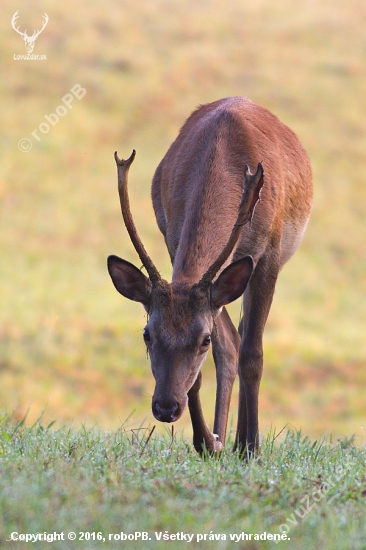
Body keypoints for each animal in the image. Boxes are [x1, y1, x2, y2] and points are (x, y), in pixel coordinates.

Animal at [107, 96, 314, 458]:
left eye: (202, 338)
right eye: (147, 334)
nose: (165, 407)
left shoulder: (270, 253)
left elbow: (253, 354)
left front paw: (251, 448)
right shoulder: (174, 241)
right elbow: (217, 357)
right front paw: (206, 442)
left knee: (245, 340)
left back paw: (241, 441)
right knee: (232, 341)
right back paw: (222, 439)